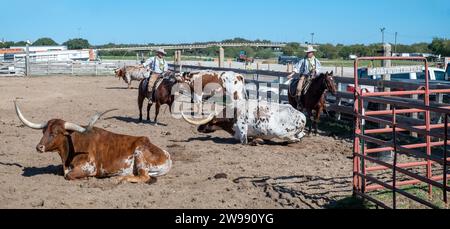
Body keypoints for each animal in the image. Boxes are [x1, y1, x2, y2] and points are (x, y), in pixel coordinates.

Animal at [14, 101, 172, 182]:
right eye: (44, 131)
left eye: (55, 133)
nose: (39, 147)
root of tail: (166, 155)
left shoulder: (89, 167)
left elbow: (68, 175)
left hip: (140, 155)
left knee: (143, 177)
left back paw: (121, 177)